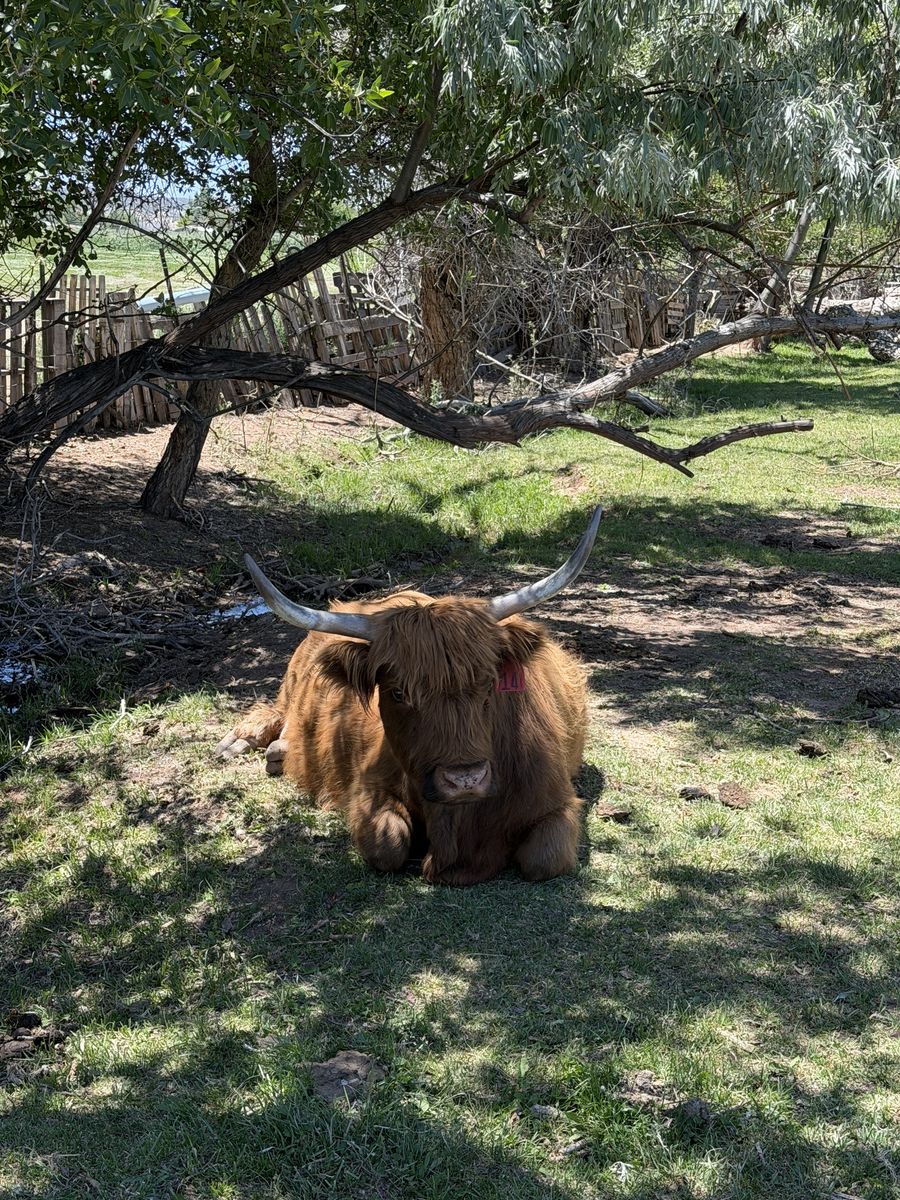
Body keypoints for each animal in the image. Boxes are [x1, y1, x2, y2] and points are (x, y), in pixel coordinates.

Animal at [217, 507, 602, 886]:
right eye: (398, 692)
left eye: (489, 683)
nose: (464, 780)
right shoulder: (368, 789)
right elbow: (387, 845)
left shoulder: (557, 802)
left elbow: (544, 858)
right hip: (291, 685)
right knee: (277, 711)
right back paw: (240, 743)